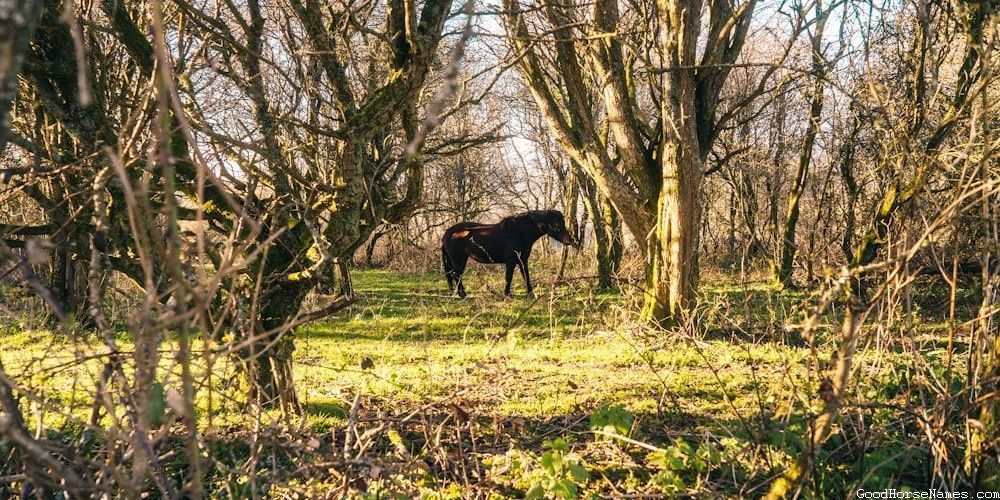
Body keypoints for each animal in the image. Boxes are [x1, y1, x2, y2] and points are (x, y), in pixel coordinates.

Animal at [441, 210, 575, 298]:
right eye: (557, 224)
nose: (570, 240)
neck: (519, 232)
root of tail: (448, 233)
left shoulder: (522, 260)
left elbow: (526, 276)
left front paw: (531, 294)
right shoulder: (511, 261)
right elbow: (508, 277)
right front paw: (507, 294)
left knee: (453, 275)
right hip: (459, 260)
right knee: (456, 275)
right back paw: (463, 294)